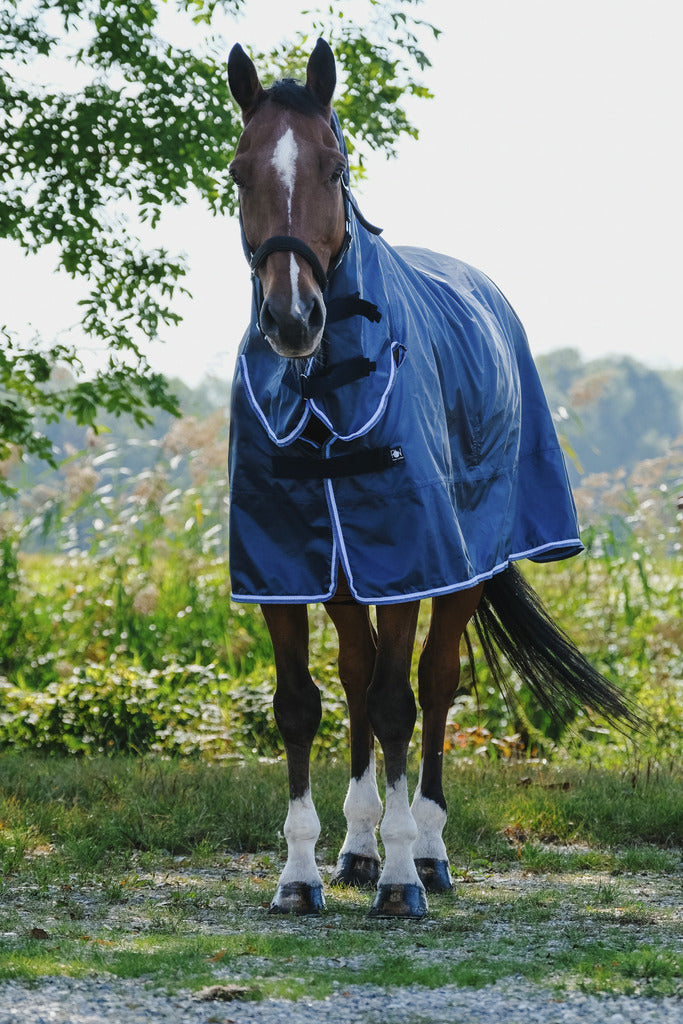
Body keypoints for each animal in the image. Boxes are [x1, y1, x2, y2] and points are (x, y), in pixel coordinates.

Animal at [225, 39, 643, 921]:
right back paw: (355, 847)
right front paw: (301, 874)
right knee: (354, 682)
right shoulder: (282, 569)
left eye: (335, 167)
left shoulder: (408, 564)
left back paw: (427, 852)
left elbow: (399, 703)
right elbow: (300, 706)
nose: (290, 319)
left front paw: (398, 879)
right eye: (240, 172)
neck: (324, 385)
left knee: (432, 685)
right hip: (346, 580)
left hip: (455, 574)